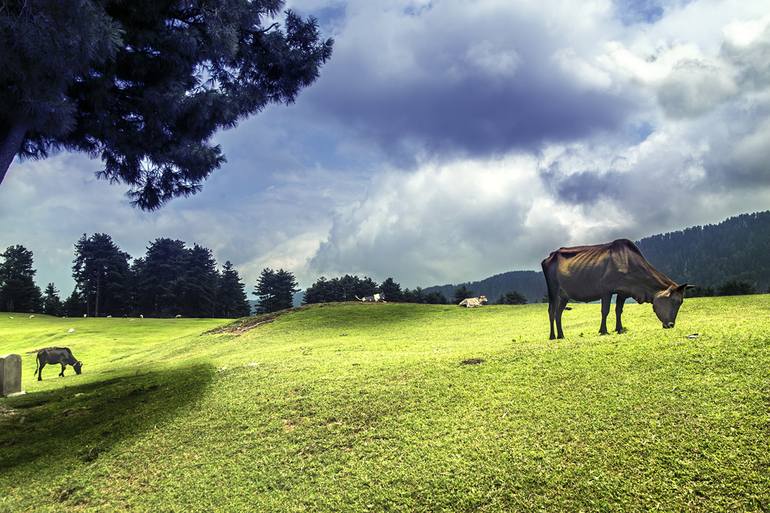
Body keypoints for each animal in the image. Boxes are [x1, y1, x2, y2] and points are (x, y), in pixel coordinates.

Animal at [540, 240, 688, 340]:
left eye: (680, 302)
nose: (671, 324)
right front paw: (603, 330)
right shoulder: (606, 290)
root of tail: (548, 257)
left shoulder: (623, 292)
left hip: (564, 295)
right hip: (553, 290)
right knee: (551, 311)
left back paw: (561, 335)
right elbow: (605, 311)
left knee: (558, 313)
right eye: (673, 301)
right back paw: (552, 336)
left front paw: (619, 328)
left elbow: (618, 310)